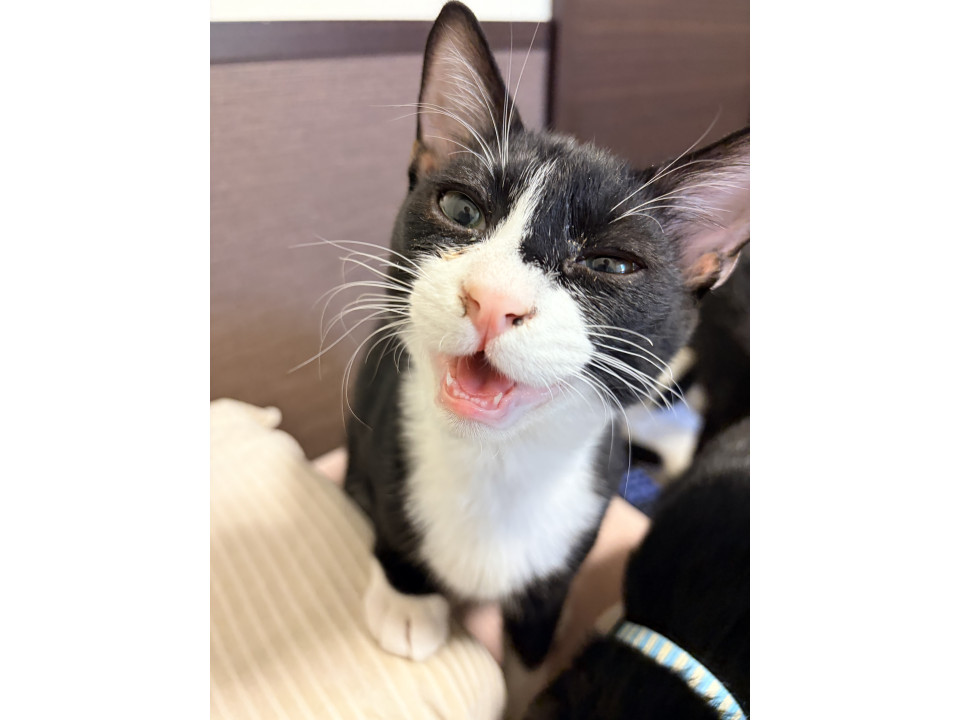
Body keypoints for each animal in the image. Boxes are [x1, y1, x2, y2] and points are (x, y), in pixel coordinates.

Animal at [343, 0, 749, 678]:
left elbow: (539, 626)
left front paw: (529, 661)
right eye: (460, 209)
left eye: (611, 265)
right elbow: (391, 510)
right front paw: (409, 601)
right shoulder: (382, 422)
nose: (492, 299)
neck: (495, 462)